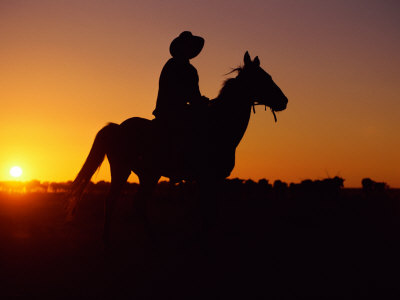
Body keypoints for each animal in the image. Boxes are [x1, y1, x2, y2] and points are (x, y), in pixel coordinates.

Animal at [68, 52, 288, 244]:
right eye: (263, 77)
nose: (284, 101)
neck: (218, 126)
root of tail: (117, 127)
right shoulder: (206, 177)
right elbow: (207, 214)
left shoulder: (211, 179)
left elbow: (209, 213)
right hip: (127, 171)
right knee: (117, 201)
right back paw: (118, 239)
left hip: (146, 175)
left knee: (130, 202)